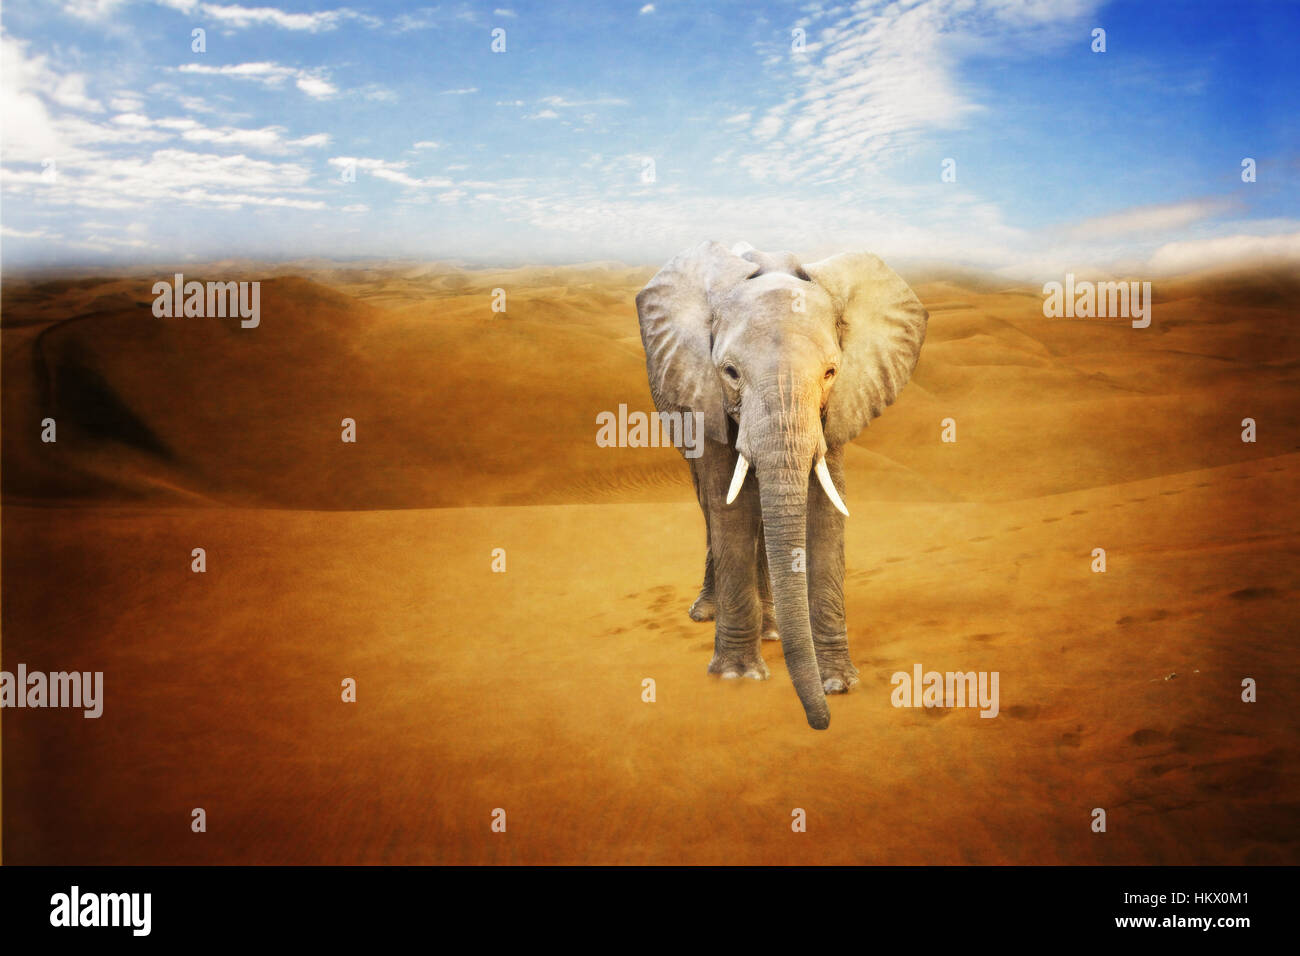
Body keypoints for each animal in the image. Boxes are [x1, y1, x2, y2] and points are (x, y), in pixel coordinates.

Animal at [636, 241, 928, 729]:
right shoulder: (705, 394)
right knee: (712, 505)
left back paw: (771, 630)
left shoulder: (840, 405)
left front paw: (840, 683)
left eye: (831, 373)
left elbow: (826, 509)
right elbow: (728, 507)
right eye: (730, 372)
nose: (820, 723)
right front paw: (736, 677)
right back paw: (708, 613)